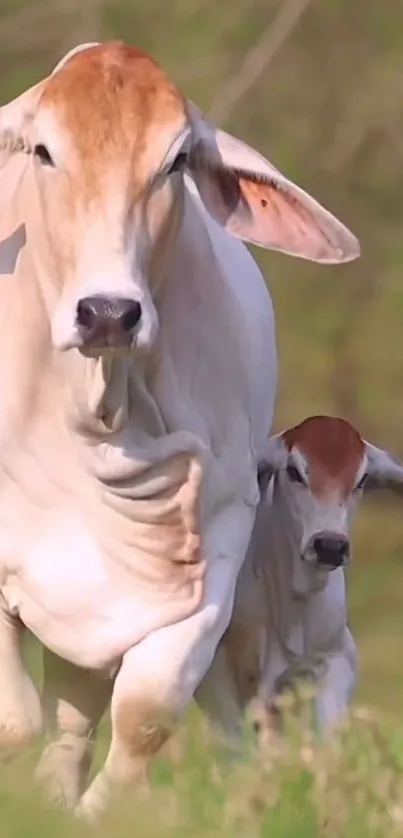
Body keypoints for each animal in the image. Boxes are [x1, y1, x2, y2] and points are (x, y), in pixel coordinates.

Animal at [0, 41, 360, 820]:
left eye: (176, 161)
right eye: (43, 150)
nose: (108, 312)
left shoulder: (218, 545)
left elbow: (146, 712)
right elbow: (13, 720)